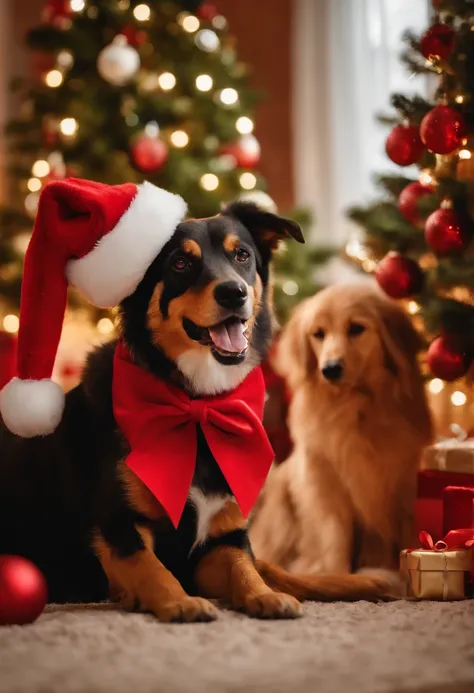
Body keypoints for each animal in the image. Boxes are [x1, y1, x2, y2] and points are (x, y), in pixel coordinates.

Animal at [0, 201, 388, 620]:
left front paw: (262, 596)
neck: (198, 404)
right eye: (181, 263)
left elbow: (245, 567)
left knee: (274, 568)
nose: (234, 293)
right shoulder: (118, 526)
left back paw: (367, 583)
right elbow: (152, 568)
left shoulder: (223, 536)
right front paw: (181, 602)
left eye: (242, 255)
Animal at [252, 282, 434, 580]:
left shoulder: (398, 481)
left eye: (357, 328)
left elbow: (398, 532)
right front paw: (335, 575)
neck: (356, 408)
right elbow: (334, 535)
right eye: (318, 334)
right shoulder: (326, 482)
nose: (330, 369)